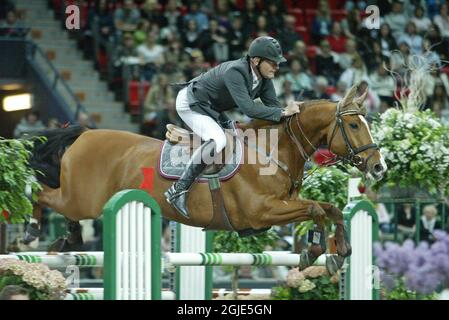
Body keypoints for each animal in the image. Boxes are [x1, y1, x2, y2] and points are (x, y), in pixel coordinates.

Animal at [21, 85, 384, 276]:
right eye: (354, 125)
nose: (379, 167)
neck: (272, 151)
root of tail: (84, 134)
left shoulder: (281, 206)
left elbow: (329, 208)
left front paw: (340, 251)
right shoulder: (261, 212)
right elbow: (317, 210)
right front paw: (318, 250)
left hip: (83, 200)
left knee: (61, 210)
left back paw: (67, 239)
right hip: (82, 199)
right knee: (43, 195)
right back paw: (32, 232)